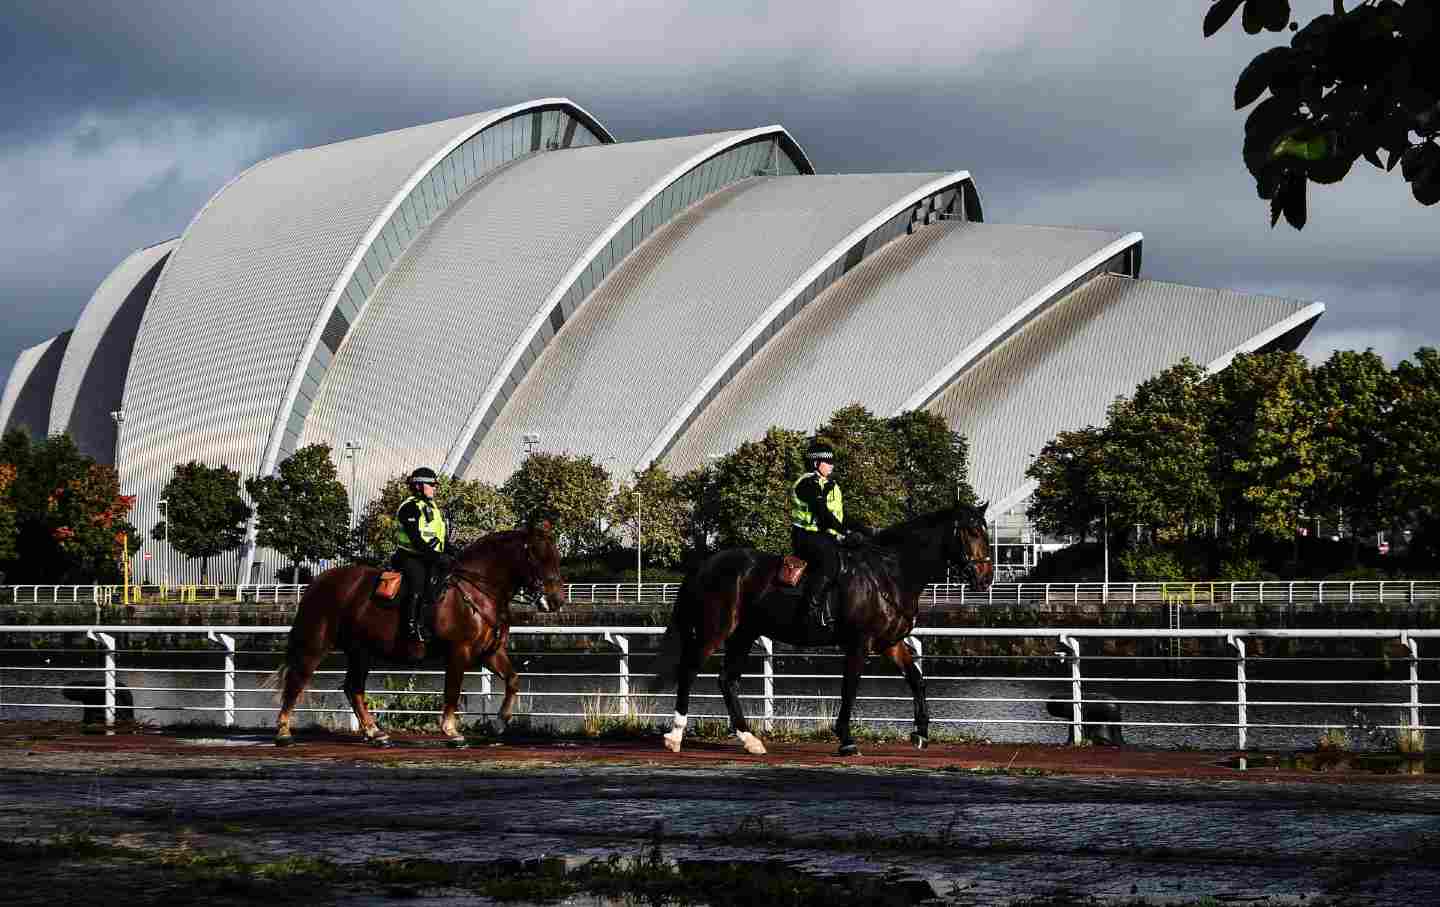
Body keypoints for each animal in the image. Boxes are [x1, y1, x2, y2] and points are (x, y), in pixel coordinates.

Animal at [264, 521, 561, 748]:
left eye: (556, 557)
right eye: (537, 556)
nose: (556, 600)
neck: (477, 590)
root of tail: (318, 582)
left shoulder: (490, 652)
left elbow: (513, 680)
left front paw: (499, 723)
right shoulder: (459, 651)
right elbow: (452, 690)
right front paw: (451, 732)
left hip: (361, 651)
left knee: (353, 688)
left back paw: (375, 733)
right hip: (316, 644)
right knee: (297, 681)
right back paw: (283, 732)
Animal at [650, 509, 990, 754]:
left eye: (986, 531)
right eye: (972, 531)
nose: (986, 577)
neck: (889, 574)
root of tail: (704, 565)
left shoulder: (890, 643)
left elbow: (917, 681)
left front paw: (920, 732)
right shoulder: (859, 643)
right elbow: (850, 688)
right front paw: (846, 738)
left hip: (743, 634)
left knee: (727, 680)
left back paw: (750, 739)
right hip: (715, 630)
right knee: (689, 670)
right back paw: (676, 735)